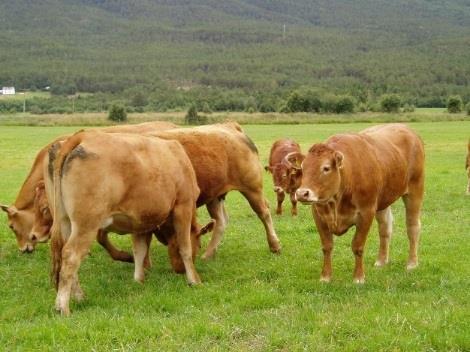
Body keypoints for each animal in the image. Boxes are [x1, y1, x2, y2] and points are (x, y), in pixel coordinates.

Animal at [48, 130, 202, 316]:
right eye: (199, 244)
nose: (179, 271)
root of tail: (84, 135)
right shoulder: (183, 206)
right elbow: (185, 247)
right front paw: (194, 280)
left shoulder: (142, 220)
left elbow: (140, 250)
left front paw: (139, 280)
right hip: (86, 224)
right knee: (71, 256)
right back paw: (63, 307)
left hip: (65, 222)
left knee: (64, 255)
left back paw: (79, 297)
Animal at [149, 123, 280, 258]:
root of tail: (230, 125)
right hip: (214, 195)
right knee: (221, 221)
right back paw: (208, 254)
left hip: (252, 188)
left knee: (264, 213)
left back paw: (274, 245)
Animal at [296, 124, 424, 284]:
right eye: (302, 168)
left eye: (326, 168)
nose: (302, 193)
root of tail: (405, 128)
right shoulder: (318, 214)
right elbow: (327, 246)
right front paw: (325, 276)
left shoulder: (366, 212)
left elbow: (357, 246)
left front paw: (358, 277)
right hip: (382, 200)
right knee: (385, 228)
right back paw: (381, 260)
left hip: (415, 190)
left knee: (412, 227)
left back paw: (412, 263)